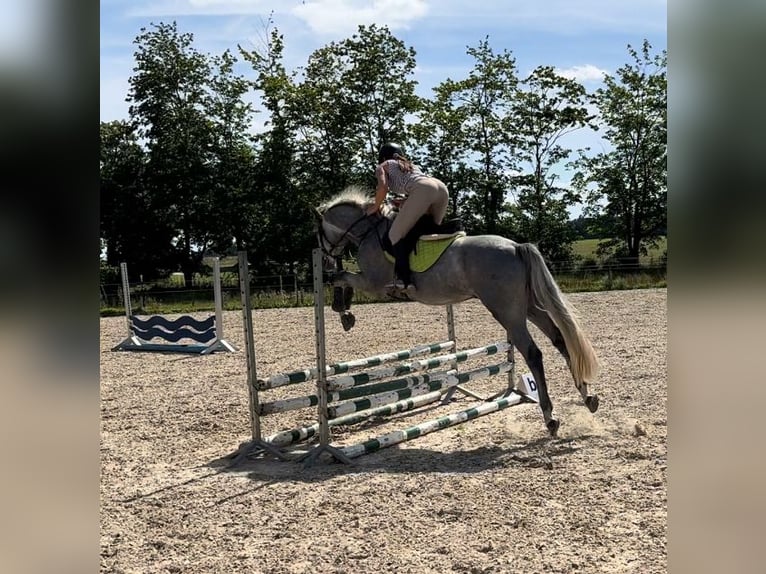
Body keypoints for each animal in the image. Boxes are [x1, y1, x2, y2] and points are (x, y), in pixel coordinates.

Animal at [314, 185, 600, 436]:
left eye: (318, 233)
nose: (325, 258)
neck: (368, 231)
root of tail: (515, 246)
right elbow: (341, 277)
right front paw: (345, 310)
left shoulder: (372, 283)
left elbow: (340, 277)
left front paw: (344, 311)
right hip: (529, 307)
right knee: (560, 340)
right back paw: (588, 397)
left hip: (507, 312)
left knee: (533, 353)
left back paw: (550, 418)